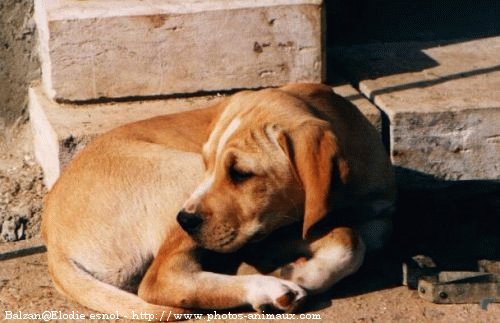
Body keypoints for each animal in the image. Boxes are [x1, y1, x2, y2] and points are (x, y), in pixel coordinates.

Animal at [43, 83, 394, 318]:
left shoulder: (374, 216)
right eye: (208, 162)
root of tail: (53, 240)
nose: (184, 219)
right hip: (182, 177)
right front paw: (296, 275)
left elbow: (360, 236)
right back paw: (268, 287)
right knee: (161, 281)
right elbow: (350, 237)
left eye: (240, 173)